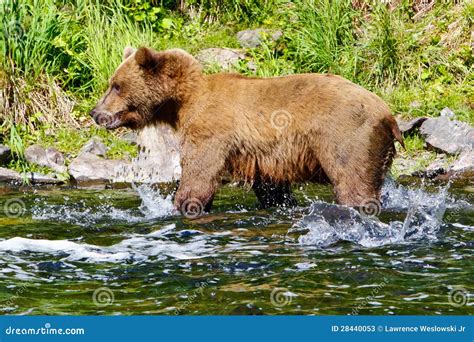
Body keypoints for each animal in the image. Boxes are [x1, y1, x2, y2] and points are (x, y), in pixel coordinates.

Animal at [91, 46, 404, 216]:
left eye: (116, 85)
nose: (96, 113)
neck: (180, 103)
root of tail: (388, 114)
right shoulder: (265, 156)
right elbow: (271, 188)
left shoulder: (210, 130)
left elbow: (199, 175)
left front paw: (181, 205)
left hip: (349, 136)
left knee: (353, 182)